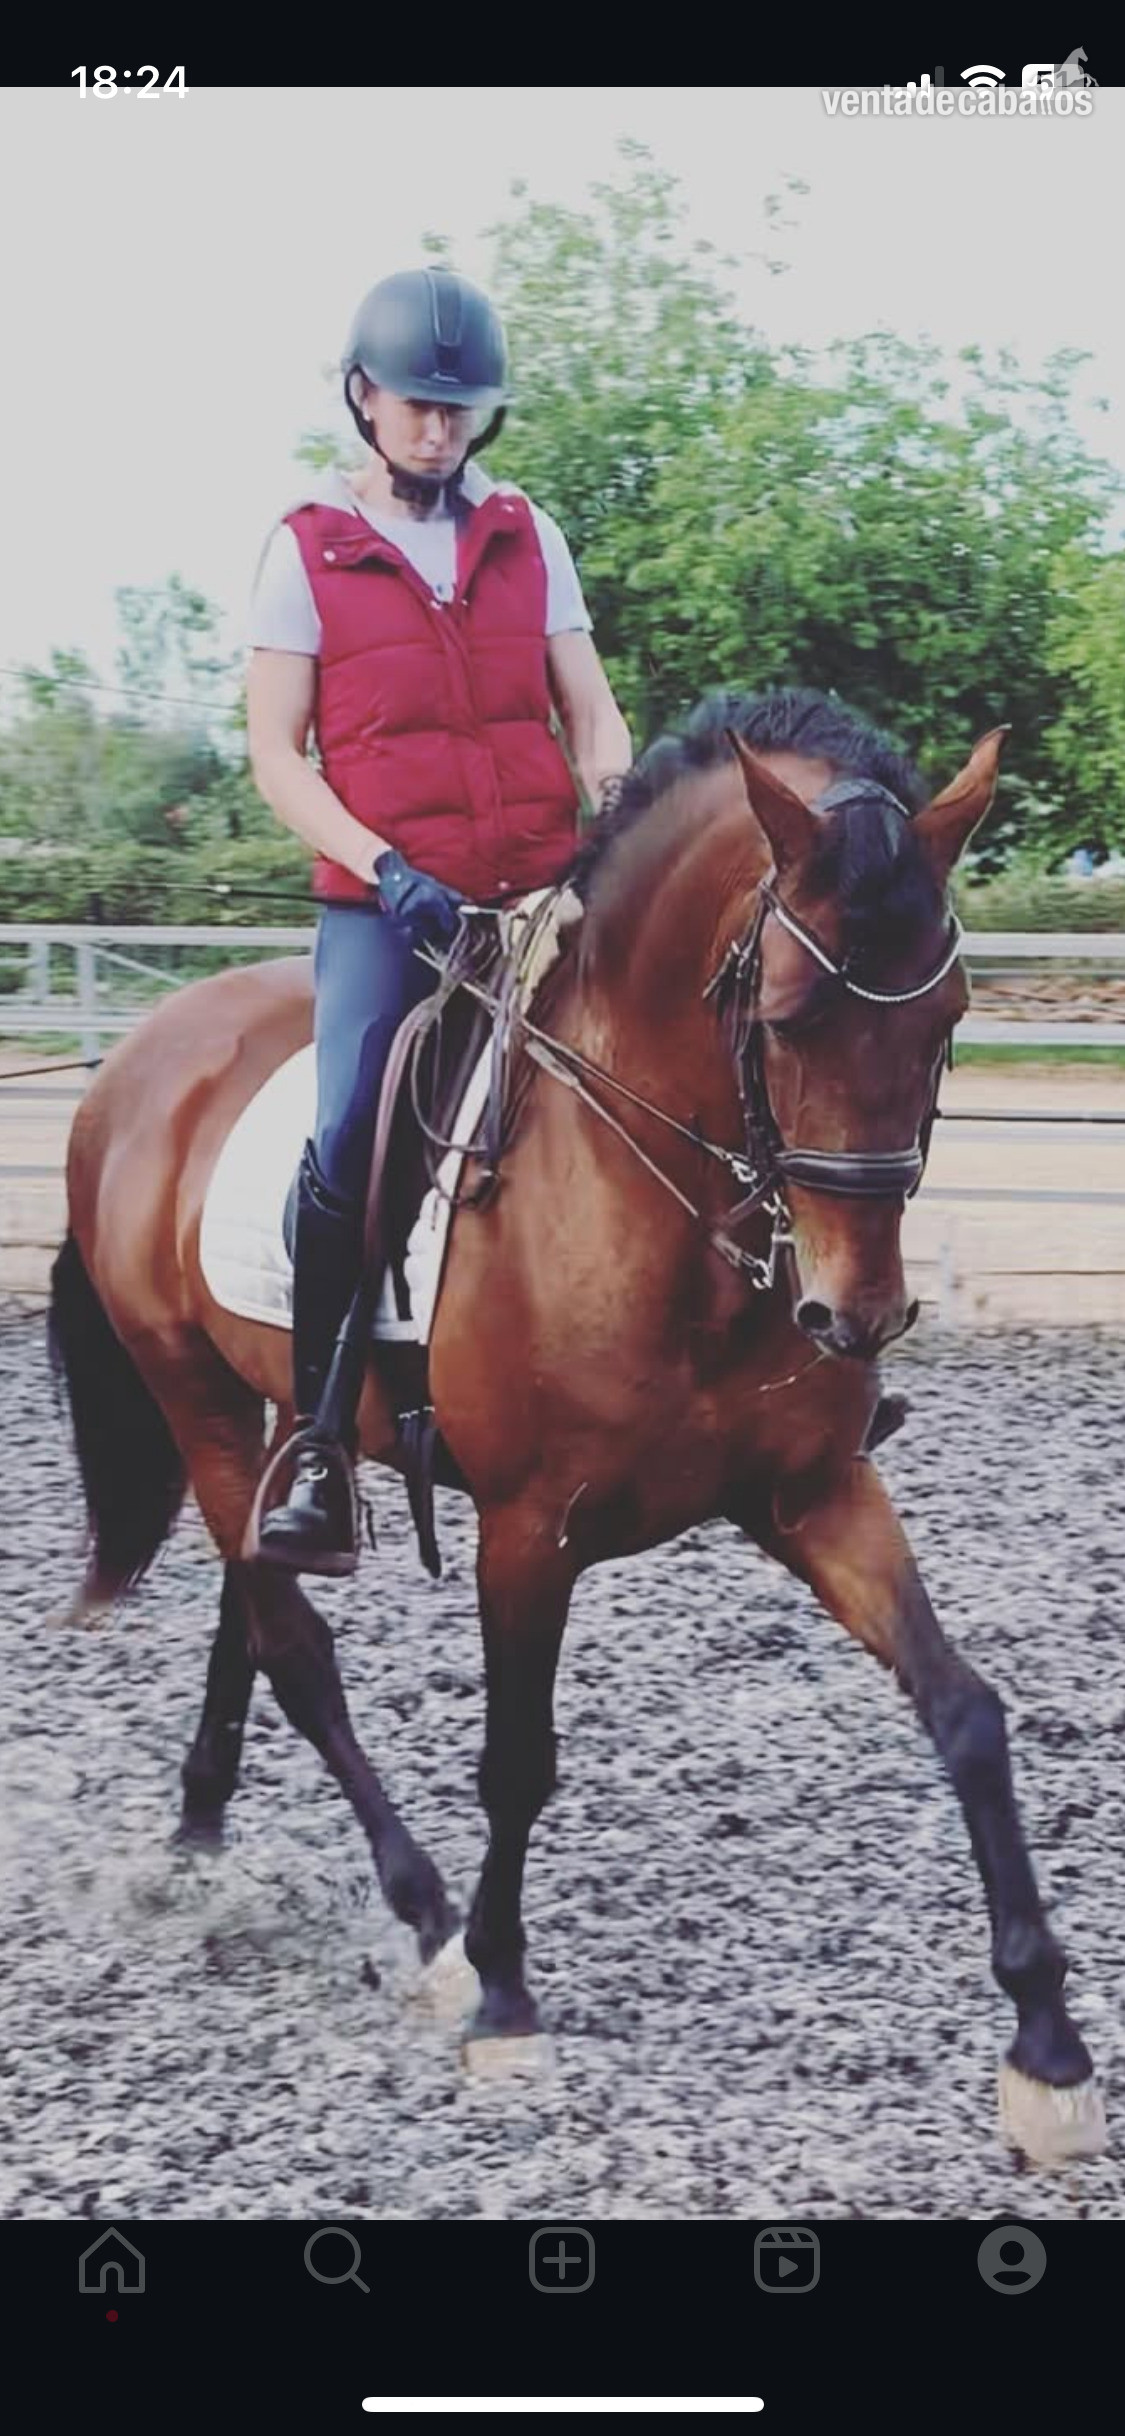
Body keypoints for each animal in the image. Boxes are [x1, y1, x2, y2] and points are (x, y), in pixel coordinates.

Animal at [47, 685, 1105, 2166]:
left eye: (948, 1012)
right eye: (785, 1017)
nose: (858, 1313)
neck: (667, 1203)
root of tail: (140, 1055)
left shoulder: (817, 1492)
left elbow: (964, 1711)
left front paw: (1046, 2046)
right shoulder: (526, 1530)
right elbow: (516, 1761)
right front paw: (503, 1999)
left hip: (259, 1416)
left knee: (247, 1606)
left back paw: (201, 1834)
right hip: (190, 1390)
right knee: (293, 1644)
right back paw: (426, 1919)